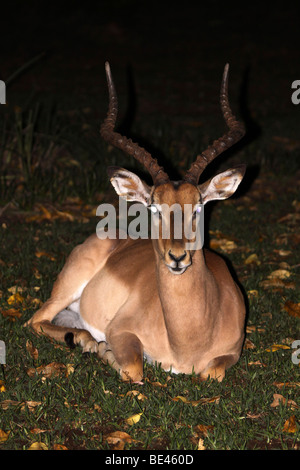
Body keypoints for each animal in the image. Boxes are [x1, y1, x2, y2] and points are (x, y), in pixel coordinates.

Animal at [25, 62, 246, 382]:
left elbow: (211, 374)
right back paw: (87, 341)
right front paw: (105, 351)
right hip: (66, 288)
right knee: (35, 320)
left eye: (198, 206)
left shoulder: (233, 351)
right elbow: (132, 368)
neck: (188, 340)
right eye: (153, 207)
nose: (177, 257)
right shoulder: (121, 330)